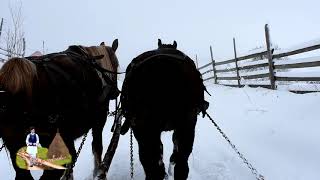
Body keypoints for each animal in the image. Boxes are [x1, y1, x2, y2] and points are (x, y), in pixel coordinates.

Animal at [0, 39, 119, 180]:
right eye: (116, 64)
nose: (116, 92)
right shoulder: (99, 119)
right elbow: (97, 147)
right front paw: (99, 172)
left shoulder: (68, 136)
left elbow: (71, 160)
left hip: (15, 142)